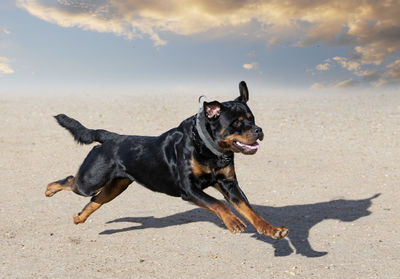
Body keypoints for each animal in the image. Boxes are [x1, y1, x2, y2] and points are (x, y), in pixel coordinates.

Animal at [47, 81, 290, 241]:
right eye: (237, 123)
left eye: (252, 119)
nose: (259, 130)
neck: (209, 150)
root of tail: (110, 137)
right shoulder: (189, 189)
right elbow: (218, 204)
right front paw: (233, 222)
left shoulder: (229, 185)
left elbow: (250, 210)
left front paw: (271, 229)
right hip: (91, 180)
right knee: (71, 180)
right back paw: (49, 189)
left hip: (115, 186)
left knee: (95, 201)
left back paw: (79, 218)